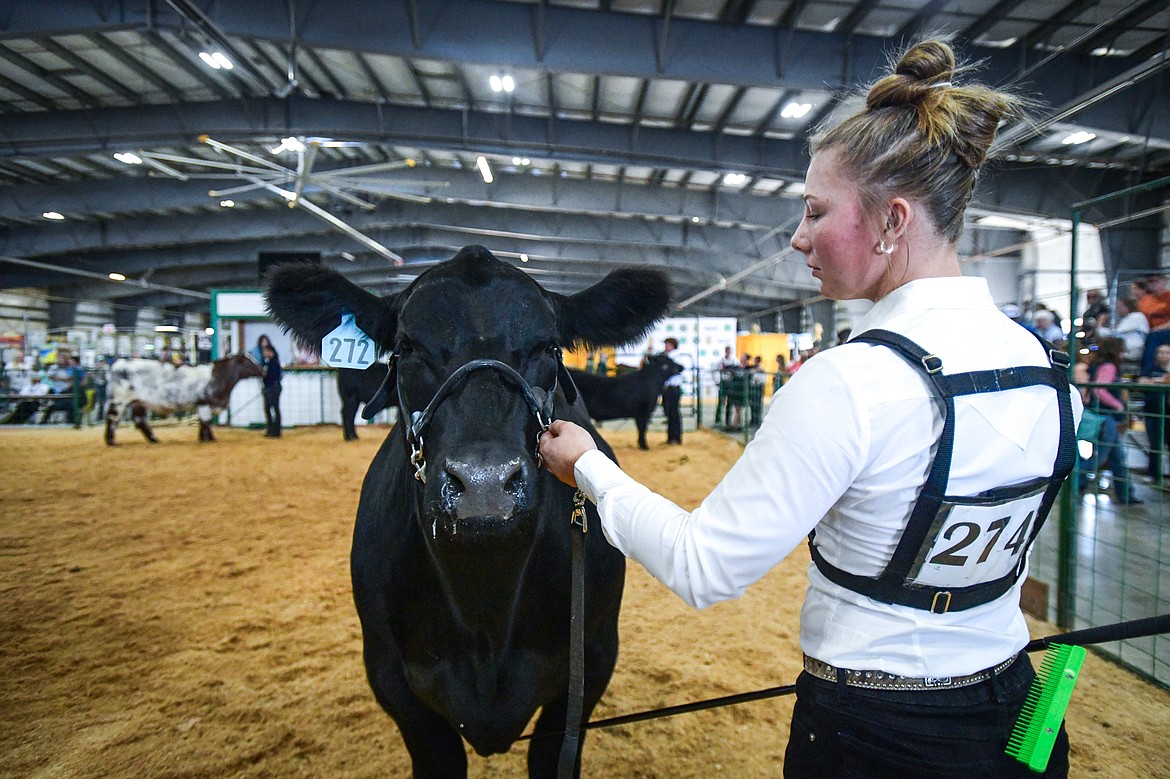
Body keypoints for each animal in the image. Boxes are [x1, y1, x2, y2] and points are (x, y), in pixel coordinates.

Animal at [104, 350, 263, 442]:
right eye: (249, 362)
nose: (263, 371)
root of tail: (118, 363)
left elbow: (204, 423)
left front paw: (204, 438)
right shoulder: (204, 403)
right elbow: (206, 422)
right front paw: (209, 439)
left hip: (138, 402)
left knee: (140, 421)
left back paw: (154, 439)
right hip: (119, 400)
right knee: (112, 418)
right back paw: (111, 441)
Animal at [264, 244, 669, 776]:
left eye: (548, 348)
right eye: (407, 347)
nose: (484, 484)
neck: (484, 601)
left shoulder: (594, 656)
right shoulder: (390, 676)